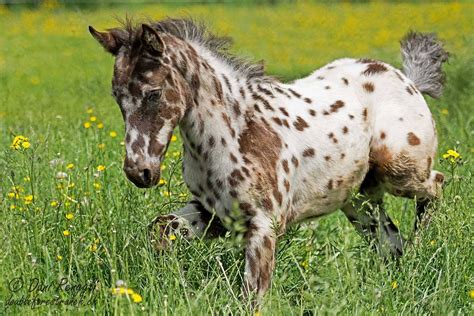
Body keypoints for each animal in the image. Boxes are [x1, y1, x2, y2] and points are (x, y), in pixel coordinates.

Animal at [89, 19, 448, 298]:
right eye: (118, 97)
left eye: (153, 93)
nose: (139, 171)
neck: (235, 130)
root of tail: (408, 80)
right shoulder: (216, 213)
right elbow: (162, 228)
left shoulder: (264, 225)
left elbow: (253, 294)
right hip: (359, 202)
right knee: (391, 243)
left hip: (398, 169)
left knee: (437, 185)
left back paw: (423, 247)